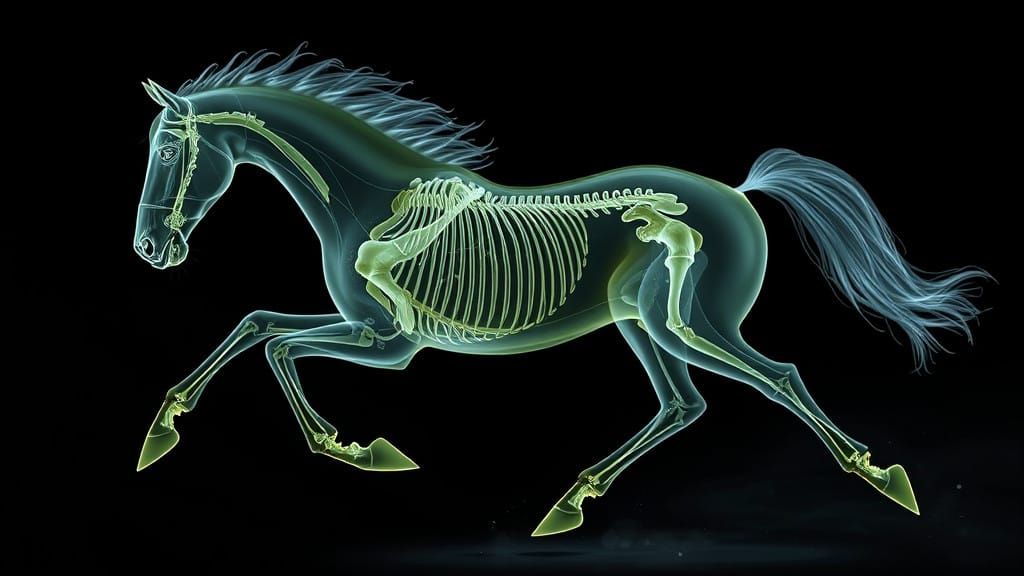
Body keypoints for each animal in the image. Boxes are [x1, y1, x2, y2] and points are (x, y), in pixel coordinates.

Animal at [133, 47, 988, 536]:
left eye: (169, 148)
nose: (148, 250)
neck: (360, 199)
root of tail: (741, 193)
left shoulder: (391, 341)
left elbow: (274, 344)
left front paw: (359, 451)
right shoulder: (369, 331)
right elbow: (254, 324)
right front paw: (161, 430)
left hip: (686, 320)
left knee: (777, 377)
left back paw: (884, 479)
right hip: (642, 321)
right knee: (683, 404)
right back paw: (569, 504)